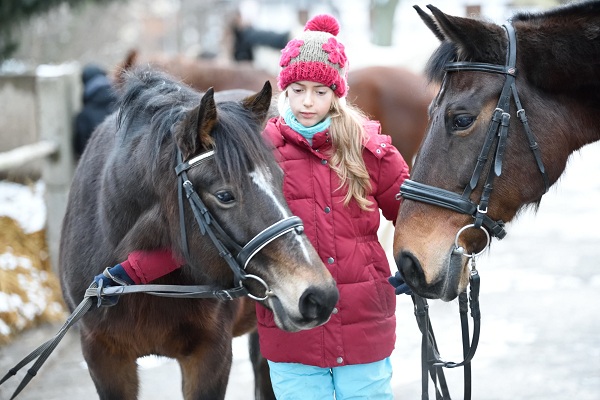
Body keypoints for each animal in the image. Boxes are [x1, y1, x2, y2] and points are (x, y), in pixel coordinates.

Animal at [58, 67, 340, 398]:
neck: (130, 278)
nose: (320, 295)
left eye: (281, 180)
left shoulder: (209, 356)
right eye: (224, 195)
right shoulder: (104, 358)